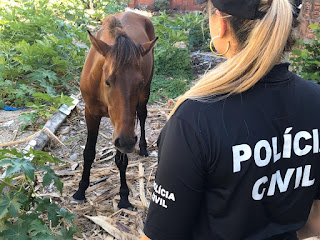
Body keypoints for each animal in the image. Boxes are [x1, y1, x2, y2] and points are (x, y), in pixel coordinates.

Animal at [72, 12, 158, 209]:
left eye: (139, 82)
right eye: (108, 81)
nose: (127, 142)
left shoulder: (123, 125)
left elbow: (121, 160)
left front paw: (124, 196)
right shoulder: (91, 113)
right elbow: (88, 153)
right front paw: (81, 190)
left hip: (144, 96)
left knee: (143, 115)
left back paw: (143, 148)